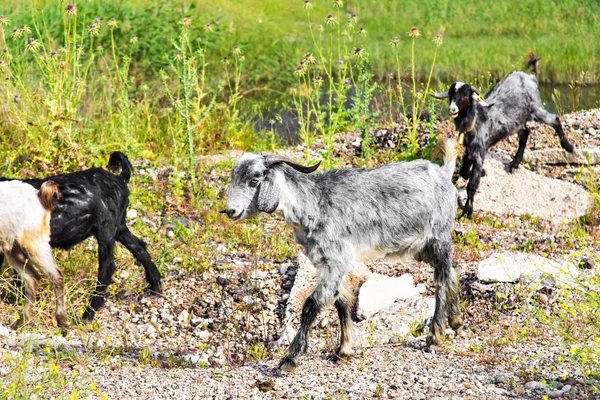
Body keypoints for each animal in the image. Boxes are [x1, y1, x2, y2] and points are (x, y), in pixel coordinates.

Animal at [0, 152, 162, 320]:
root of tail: (119, 179)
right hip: (119, 227)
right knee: (140, 247)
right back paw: (155, 287)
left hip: (106, 229)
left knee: (107, 267)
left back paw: (88, 313)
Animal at [225, 138, 464, 372]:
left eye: (254, 180)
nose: (230, 211)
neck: (313, 204)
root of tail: (443, 173)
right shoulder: (327, 262)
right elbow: (342, 302)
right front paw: (343, 350)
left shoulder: (337, 260)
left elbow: (311, 304)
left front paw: (289, 359)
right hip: (420, 248)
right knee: (452, 272)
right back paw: (456, 320)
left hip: (439, 237)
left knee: (442, 280)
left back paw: (434, 336)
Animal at [434, 54, 576, 219]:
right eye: (451, 95)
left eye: (464, 96)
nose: (452, 109)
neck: (475, 119)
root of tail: (530, 76)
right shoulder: (469, 152)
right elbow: (464, 172)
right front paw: (482, 173)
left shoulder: (479, 152)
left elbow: (471, 185)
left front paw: (467, 212)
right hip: (516, 122)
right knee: (525, 132)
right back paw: (515, 162)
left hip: (536, 108)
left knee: (554, 119)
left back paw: (568, 147)